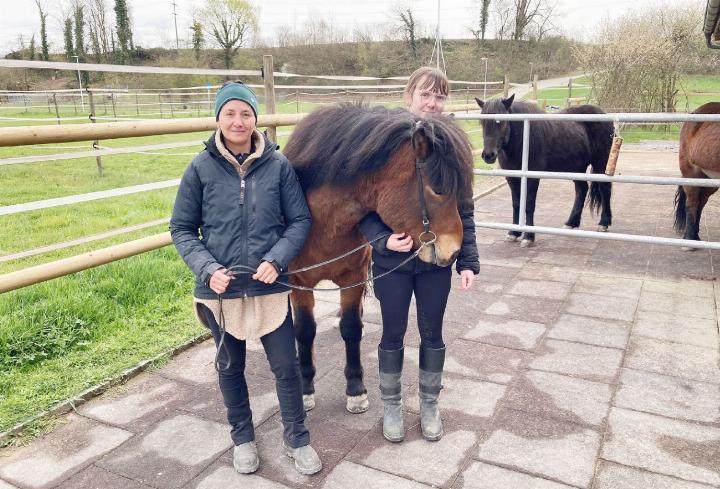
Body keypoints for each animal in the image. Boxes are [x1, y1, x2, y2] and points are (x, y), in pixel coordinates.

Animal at [475, 94, 614, 247]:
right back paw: (571, 223)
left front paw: (528, 237)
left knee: (604, 190)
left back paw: (604, 223)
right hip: (577, 167)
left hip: (601, 163)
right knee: (581, 190)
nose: (488, 155)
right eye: (482, 122)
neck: (524, 139)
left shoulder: (532, 178)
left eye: (502, 122)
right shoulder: (511, 178)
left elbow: (529, 204)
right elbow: (516, 204)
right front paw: (513, 233)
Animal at [674, 102, 720, 250]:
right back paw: (689, 240)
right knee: (692, 203)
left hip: (708, 179)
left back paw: (695, 238)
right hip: (691, 173)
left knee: (701, 203)